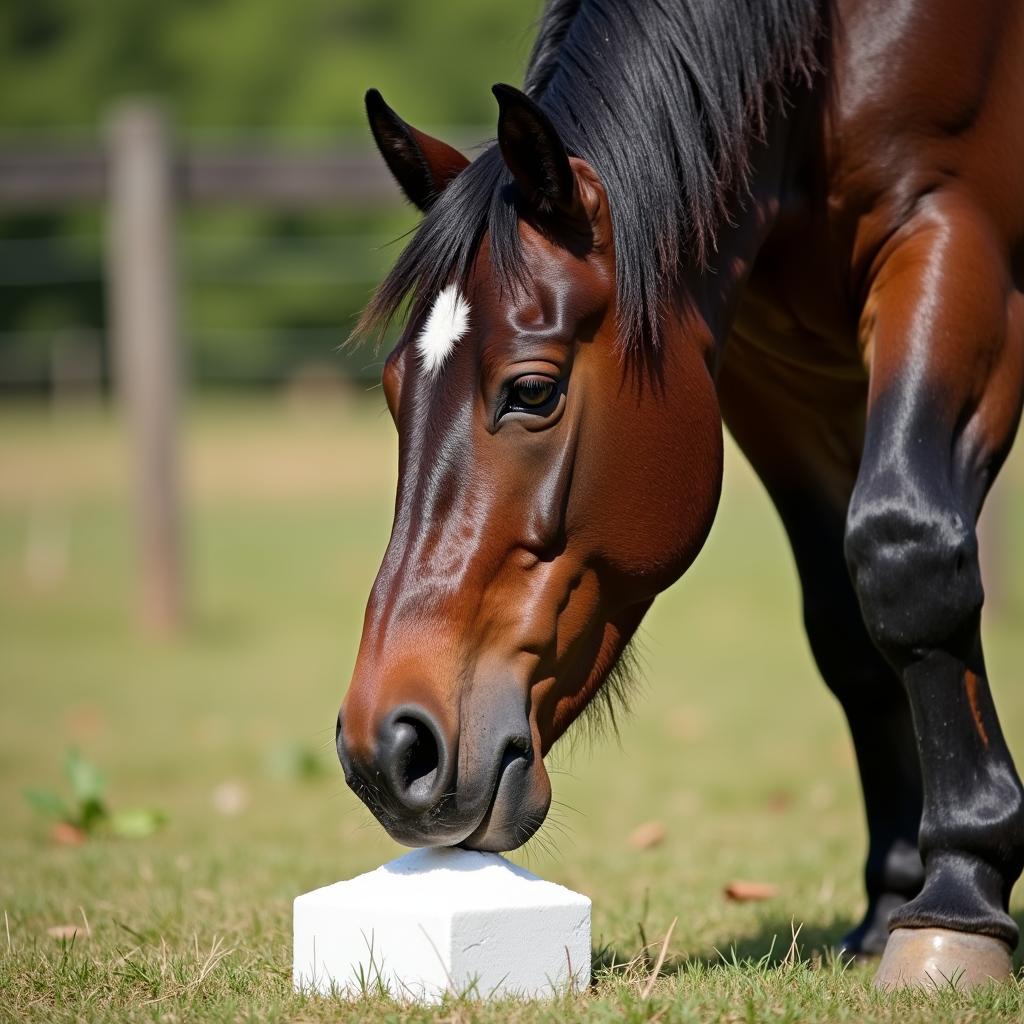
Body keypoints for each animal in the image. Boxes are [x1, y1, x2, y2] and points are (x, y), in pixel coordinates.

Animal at [335, 0, 1024, 991]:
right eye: (395, 391)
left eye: (532, 390)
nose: (388, 749)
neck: (826, 56)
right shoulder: (768, 372)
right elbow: (847, 628)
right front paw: (894, 897)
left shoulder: (953, 244)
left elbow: (905, 555)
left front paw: (959, 898)